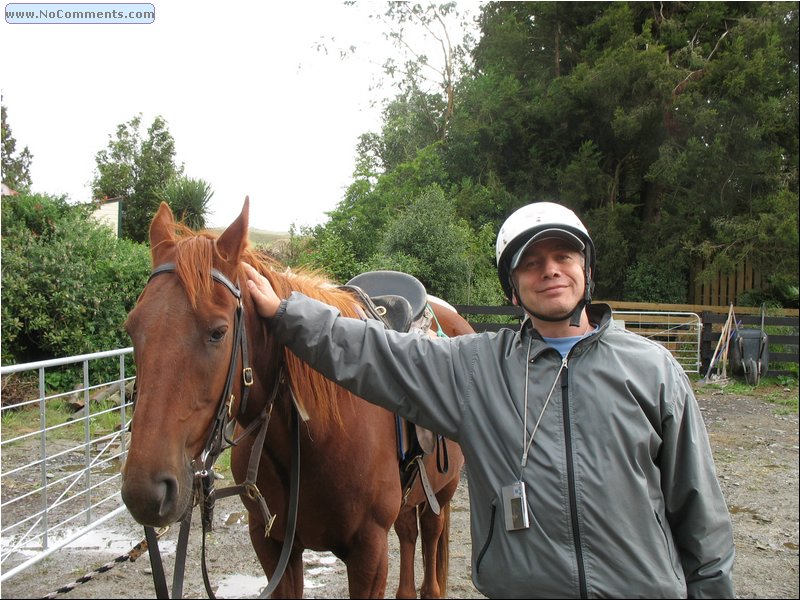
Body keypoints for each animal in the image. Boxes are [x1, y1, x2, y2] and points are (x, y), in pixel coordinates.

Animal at [122, 200, 472, 596]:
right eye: (132, 328)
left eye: (218, 332)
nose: (145, 492)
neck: (318, 436)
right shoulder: (272, 545)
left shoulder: (369, 554)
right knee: (409, 532)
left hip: (443, 492)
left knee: (430, 537)